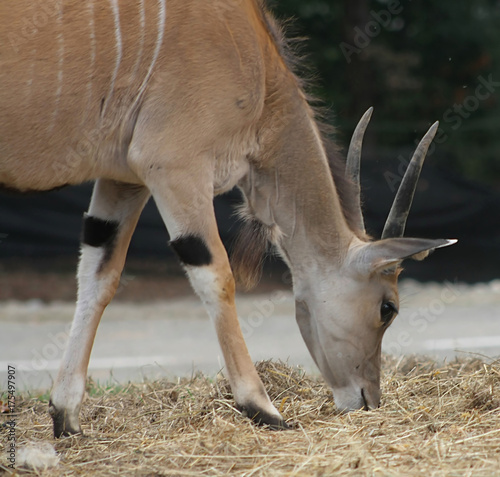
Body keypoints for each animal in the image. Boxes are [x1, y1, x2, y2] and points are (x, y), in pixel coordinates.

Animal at [0, 0, 456, 434]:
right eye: (388, 308)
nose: (367, 399)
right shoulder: (174, 166)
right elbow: (216, 276)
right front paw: (262, 407)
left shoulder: (124, 179)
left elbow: (99, 276)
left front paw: (66, 415)